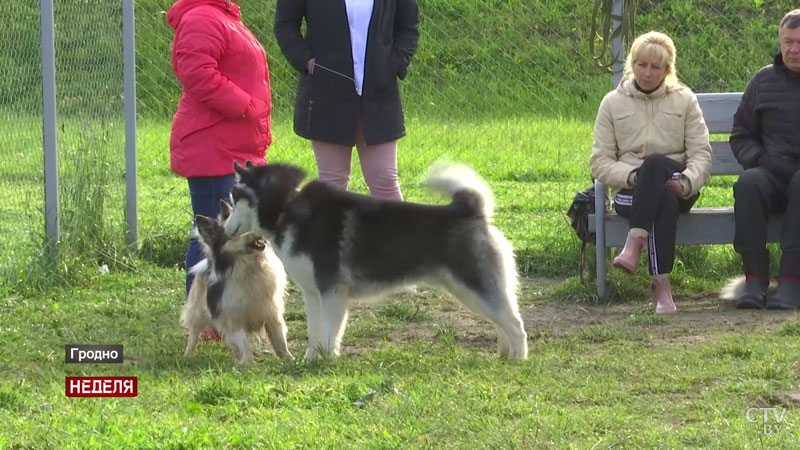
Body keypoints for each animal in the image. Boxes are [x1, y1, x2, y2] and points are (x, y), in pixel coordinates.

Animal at [180, 202, 292, 364]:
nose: (259, 231)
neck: (251, 269)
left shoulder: (272, 313)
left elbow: (280, 340)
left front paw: (289, 360)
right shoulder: (233, 320)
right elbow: (244, 343)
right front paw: (248, 364)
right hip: (199, 312)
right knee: (194, 333)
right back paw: (188, 355)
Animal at [222, 160, 528, 360]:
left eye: (235, 199)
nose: (225, 229)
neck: (286, 209)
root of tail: (469, 209)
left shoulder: (333, 291)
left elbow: (330, 332)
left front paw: (327, 361)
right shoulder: (313, 293)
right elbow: (314, 332)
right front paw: (310, 359)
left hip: (473, 285)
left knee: (515, 323)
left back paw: (518, 358)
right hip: (468, 291)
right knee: (502, 321)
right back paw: (504, 353)